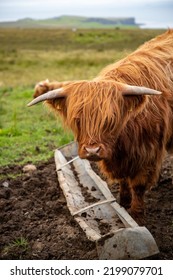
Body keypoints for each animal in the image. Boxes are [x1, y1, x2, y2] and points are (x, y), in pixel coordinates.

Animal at [27, 29, 173, 224]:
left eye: (110, 120)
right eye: (77, 120)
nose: (92, 151)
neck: (122, 144)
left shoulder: (147, 153)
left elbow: (138, 186)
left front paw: (136, 216)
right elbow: (123, 180)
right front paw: (123, 202)